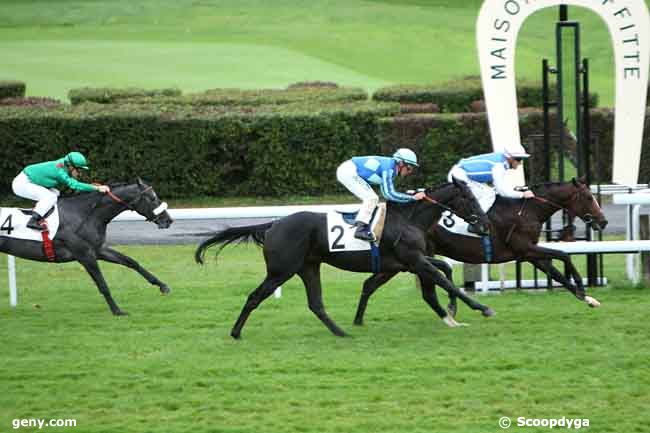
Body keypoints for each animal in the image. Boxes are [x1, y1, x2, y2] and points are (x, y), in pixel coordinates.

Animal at [0, 178, 172, 314]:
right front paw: (117, 310)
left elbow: (130, 261)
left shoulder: (97, 250)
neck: (85, 214)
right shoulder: (84, 255)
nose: (168, 220)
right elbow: (102, 284)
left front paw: (162, 285)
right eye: (152, 198)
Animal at [195, 179, 494, 338]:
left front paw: (453, 311)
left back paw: (341, 332)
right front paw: (481, 308)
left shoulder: (408, 263)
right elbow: (446, 281)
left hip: (308, 267)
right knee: (255, 297)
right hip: (281, 271)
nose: (485, 225)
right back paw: (235, 332)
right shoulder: (413, 260)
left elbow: (445, 272)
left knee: (315, 303)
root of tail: (273, 224)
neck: (408, 218)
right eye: (470, 198)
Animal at [352, 176, 604, 324]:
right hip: (410, 259)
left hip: (399, 262)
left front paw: (588, 298)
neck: (527, 211)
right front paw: (583, 288)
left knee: (370, 284)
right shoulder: (525, 248)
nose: (603, 222)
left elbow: (558, 272)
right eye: (588, 197)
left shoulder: (529, 254)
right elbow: (564, 255)